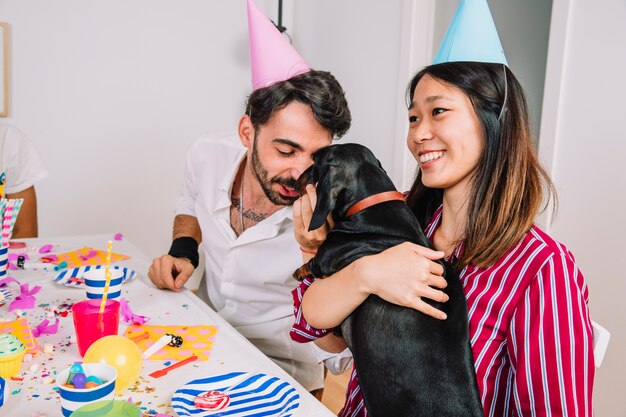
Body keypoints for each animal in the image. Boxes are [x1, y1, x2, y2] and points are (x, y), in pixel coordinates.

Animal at [294, 144, 482, 416]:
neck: (373, 207)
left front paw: (299, 270)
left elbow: (313, 263)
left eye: (314, 161)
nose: (295, 180)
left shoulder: (326, 257)